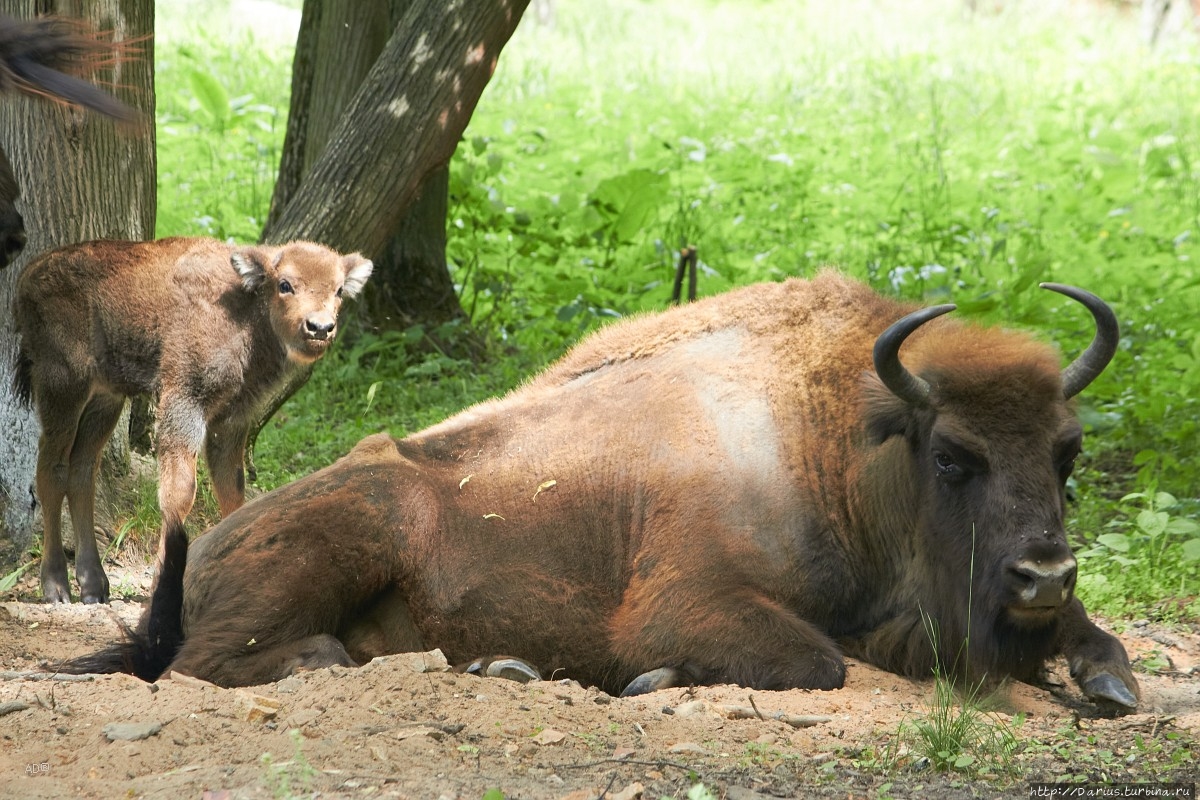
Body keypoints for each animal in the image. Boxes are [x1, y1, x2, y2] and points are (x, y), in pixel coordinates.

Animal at [65, 272, 1142, 710]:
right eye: (953, 454)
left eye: (1068, 451)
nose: (1042, 573)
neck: (838, 444)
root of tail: (206, 544)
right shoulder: (685, 599)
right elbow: (821, 660)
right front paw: (653, 682)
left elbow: (1101, 639)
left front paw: (1107, 676)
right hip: (363, 524)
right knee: (206, 662)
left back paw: (501, 667)